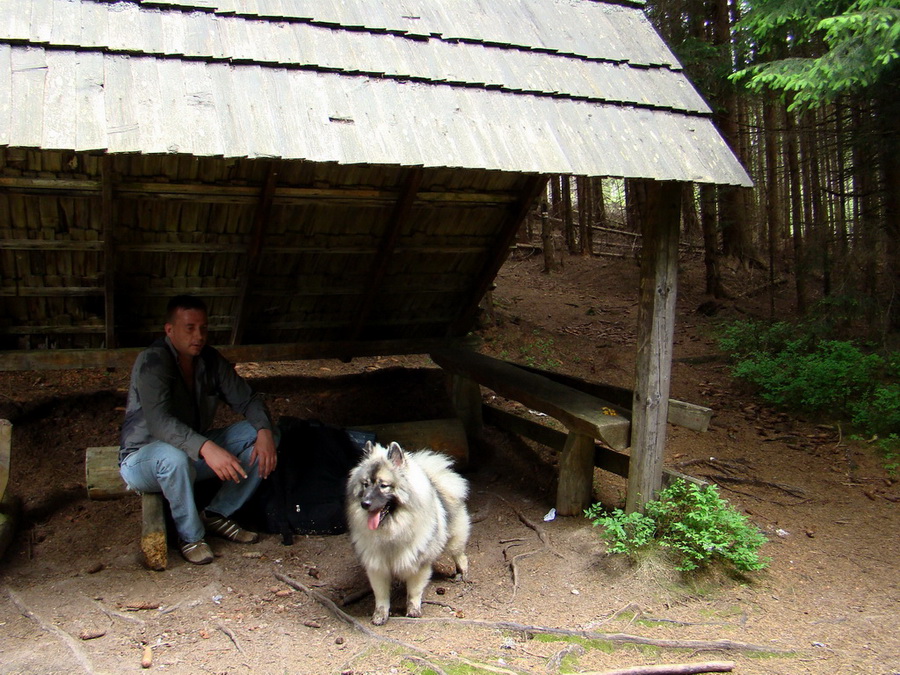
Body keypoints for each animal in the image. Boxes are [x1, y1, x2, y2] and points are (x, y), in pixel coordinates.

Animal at [344, 440, 472, 624]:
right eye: (365, 484)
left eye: (383, 486)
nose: (365, 503)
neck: (391, 531)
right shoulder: (377, 566)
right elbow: (381, 596)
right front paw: (380, 614)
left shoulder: (418, 563)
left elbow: (414, 591)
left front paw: (413, 610)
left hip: (454, 539)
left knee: (460, 556)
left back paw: (462, 573)